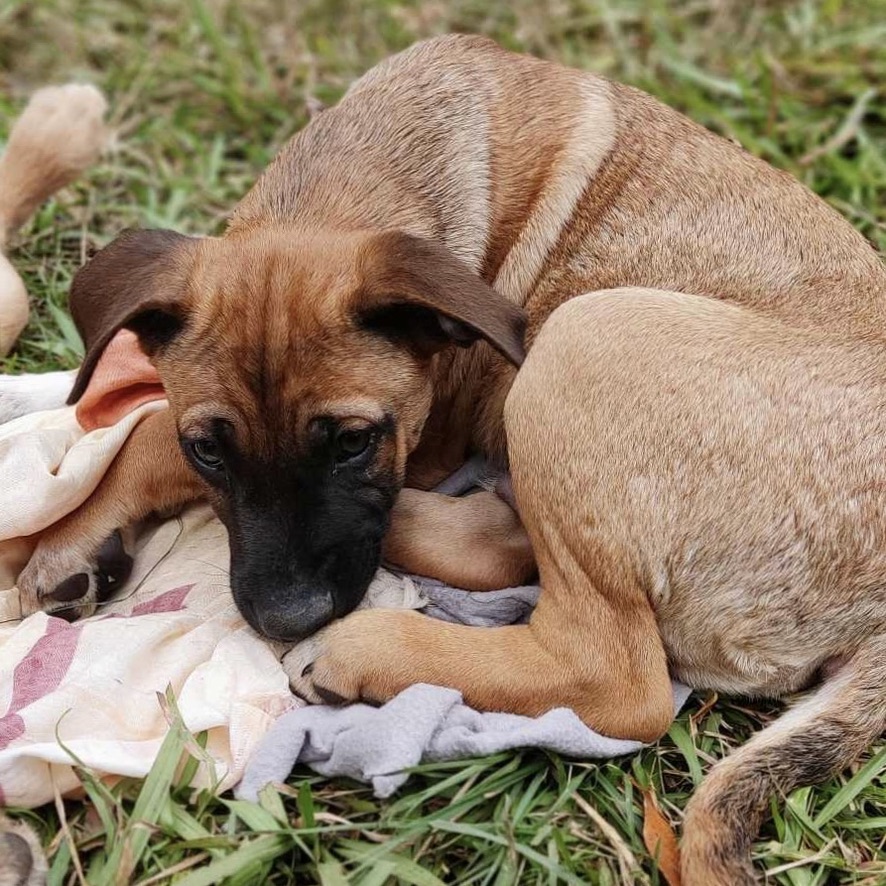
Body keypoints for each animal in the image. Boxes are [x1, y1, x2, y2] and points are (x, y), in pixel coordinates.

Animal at [6, 36, 886, 886]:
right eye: (212, 450)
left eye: (354, 441)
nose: (286, 618)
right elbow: (155, 425)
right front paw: (72, 537)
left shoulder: (428, 442)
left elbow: (149, 427)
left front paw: (67, 531)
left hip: (581, 338)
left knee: (613, 675)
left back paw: (370, 646)